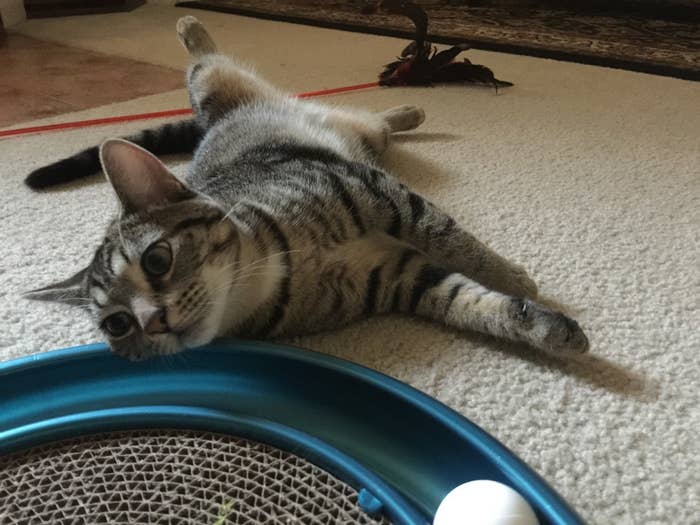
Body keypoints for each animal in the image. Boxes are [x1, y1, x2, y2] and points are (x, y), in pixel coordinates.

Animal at [24, 17, 588, 360]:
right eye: (118, 325)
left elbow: (454, 240)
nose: (153, 321)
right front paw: (540, 325)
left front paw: (513, 276)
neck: (282, 265)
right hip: (360, 141)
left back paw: (190, 25)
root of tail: (210, 124)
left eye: (157, 260)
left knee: (207, 59)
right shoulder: (400, 275)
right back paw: (406, 108)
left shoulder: (379, 194)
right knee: (375, 125)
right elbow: (468, 300)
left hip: (216, 86)